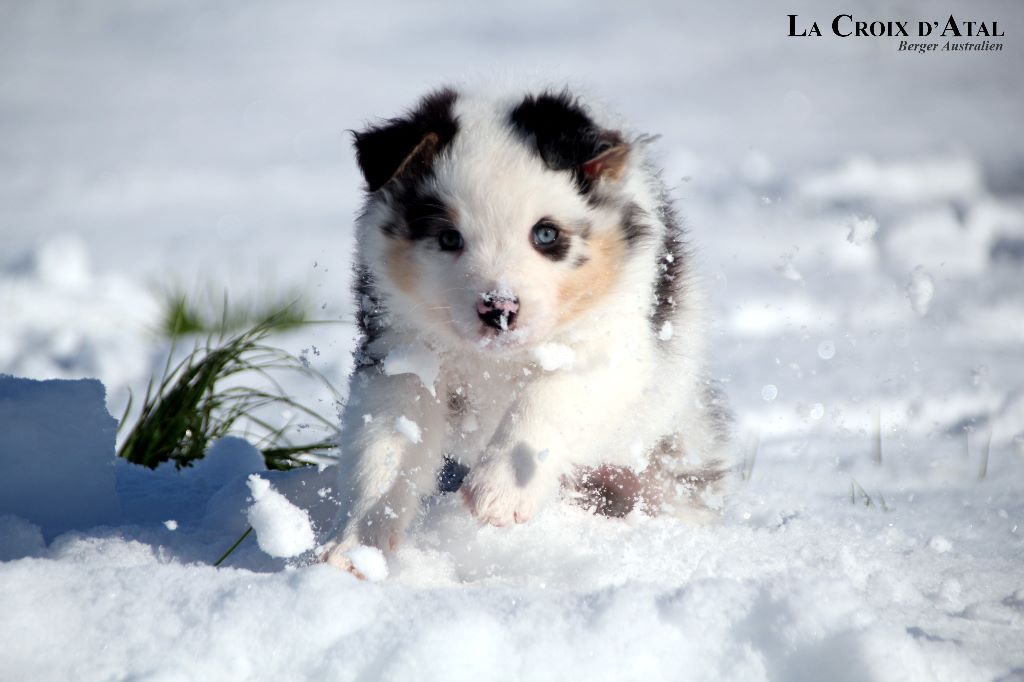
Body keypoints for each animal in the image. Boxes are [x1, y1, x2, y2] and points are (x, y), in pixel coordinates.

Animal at [324, 86, 731, 570]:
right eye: (448, 238)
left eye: (546, 235)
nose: (499, 309)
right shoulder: (400, 353)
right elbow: (385, 445)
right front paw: (358, 544)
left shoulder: (612, 347)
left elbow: (544, 398)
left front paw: (499, 490)